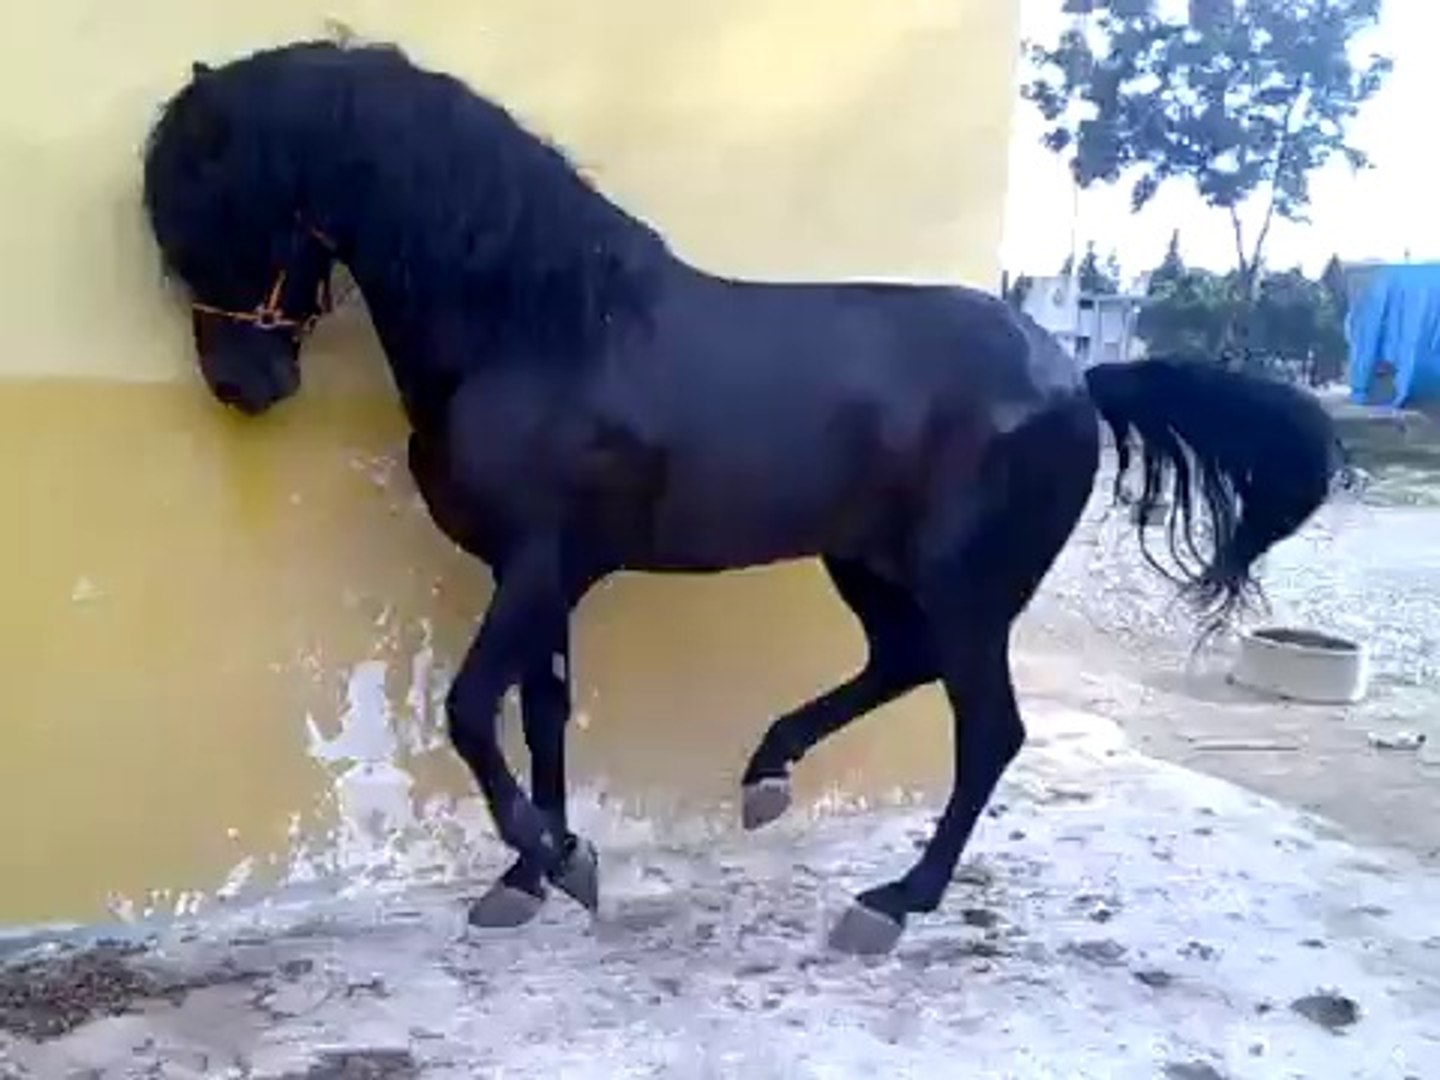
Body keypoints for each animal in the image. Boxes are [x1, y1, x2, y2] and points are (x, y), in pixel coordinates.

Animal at [140, 39, 1339, 955]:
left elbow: (473, 711)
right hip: (868, 562)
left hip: (966, 586)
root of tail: (1077, 378)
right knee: (899, 664)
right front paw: (536, 874)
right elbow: (541, 713)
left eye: (219, 207)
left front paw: (559, 860)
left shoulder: (535, 563)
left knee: (988, 731)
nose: (245, 385)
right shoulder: (550, 578)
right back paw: (768, 777)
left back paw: (892, 904)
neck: (543, 328)